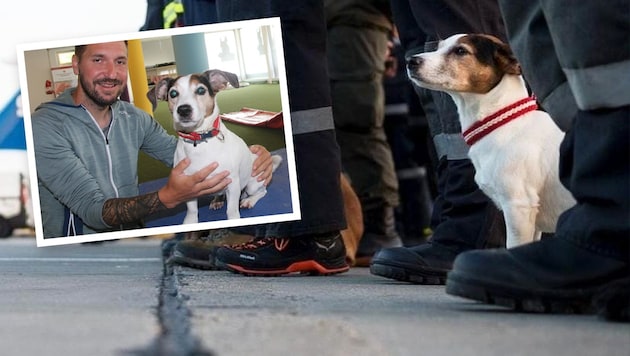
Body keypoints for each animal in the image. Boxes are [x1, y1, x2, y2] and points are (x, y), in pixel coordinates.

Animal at [148, 68, 282, 221]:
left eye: (201, 90)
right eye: (173, 94)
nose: (183, 110)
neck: (199, 140)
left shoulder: (232, 183)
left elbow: (232, 210)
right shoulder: (188, 188)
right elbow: (192, 210)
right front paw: (190, 221)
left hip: (252, 184)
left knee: (262, 191)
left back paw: (249, 200)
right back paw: (218, 200)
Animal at [404, 34, 576, 249]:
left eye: (461, 51)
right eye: (438, 47)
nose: (411, 61)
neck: (504, 123)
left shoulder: (518, 208)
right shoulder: (532, 221)